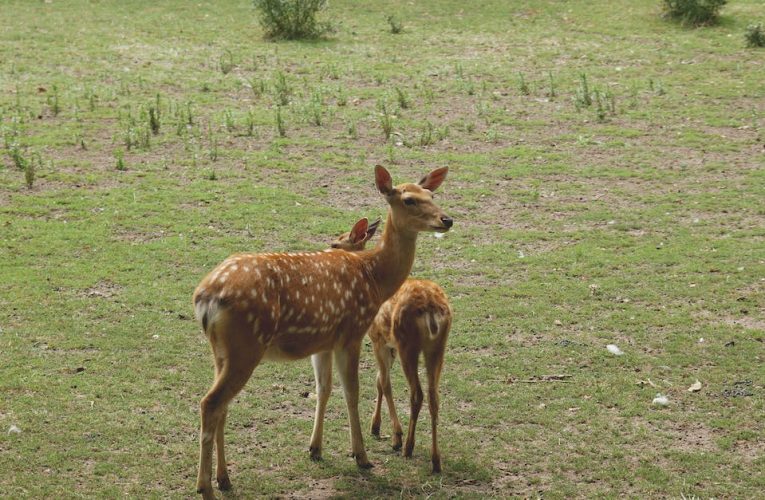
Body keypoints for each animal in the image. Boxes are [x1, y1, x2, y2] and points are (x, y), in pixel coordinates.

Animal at [332, 218, 450, 472]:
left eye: (335, 244)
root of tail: (432, 309)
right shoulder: (390, 345)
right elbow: (379, 381)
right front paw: (375, 426)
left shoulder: (378, 338)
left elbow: (385, 383)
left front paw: (395, 435)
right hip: (437, 347)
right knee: (434, 395)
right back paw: (436, 460)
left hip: (409, 345)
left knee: (417, 393)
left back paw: (408, 447)